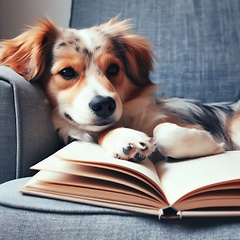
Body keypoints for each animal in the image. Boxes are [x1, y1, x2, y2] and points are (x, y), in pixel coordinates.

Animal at [0, 17, 240, 162]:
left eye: (114, 68)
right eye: (67, 72)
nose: (104, 104)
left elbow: (163, 131)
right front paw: (126, 139)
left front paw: (211, 144)